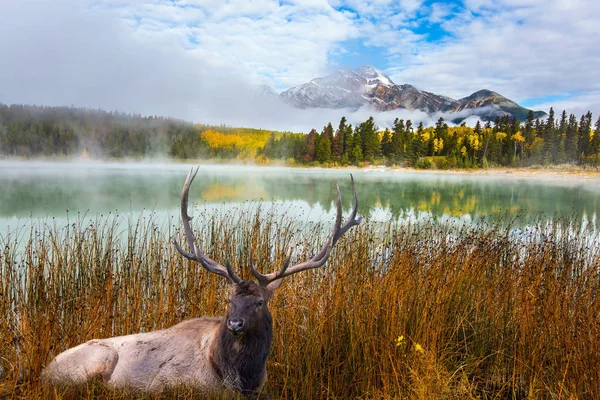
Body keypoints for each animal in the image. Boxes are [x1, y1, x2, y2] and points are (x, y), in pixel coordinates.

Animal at [43, 167, 360, 396]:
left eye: (259, 302)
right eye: (229, 300)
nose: (235, 323)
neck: (238, 377)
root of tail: (45, 368)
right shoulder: (171, 384)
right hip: (98, 360)